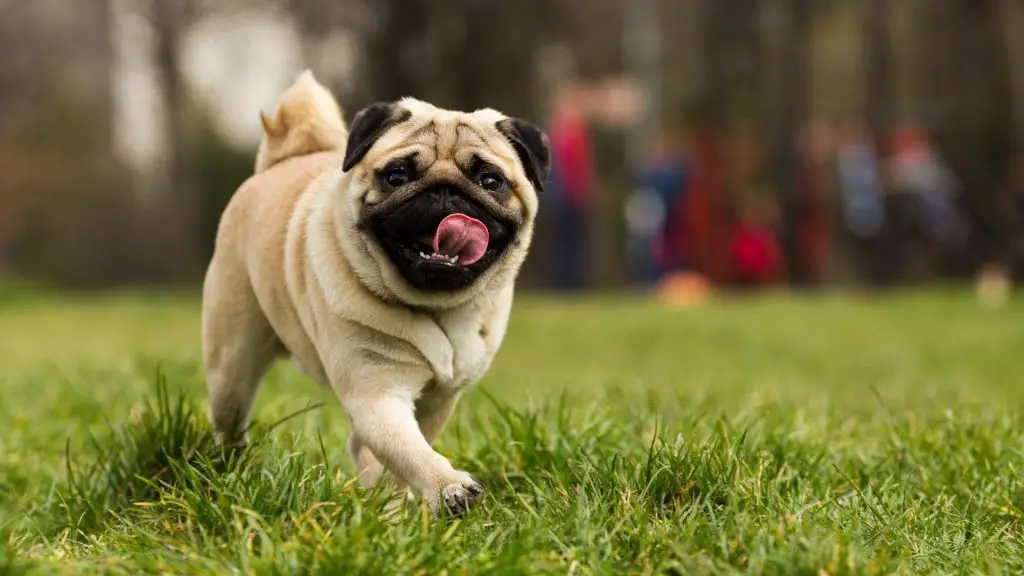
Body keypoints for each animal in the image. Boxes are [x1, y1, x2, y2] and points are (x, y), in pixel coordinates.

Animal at [201, 69, 552, 512]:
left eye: (489, 180)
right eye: (397, 176)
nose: (445, 191)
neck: (436, 306)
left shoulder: (438, 399)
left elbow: (402, 451)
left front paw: (398, 500)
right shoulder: (377, 393)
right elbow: (410, 449)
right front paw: (447, 487)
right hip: (230, 367)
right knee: (231, 417)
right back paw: (230, 467)